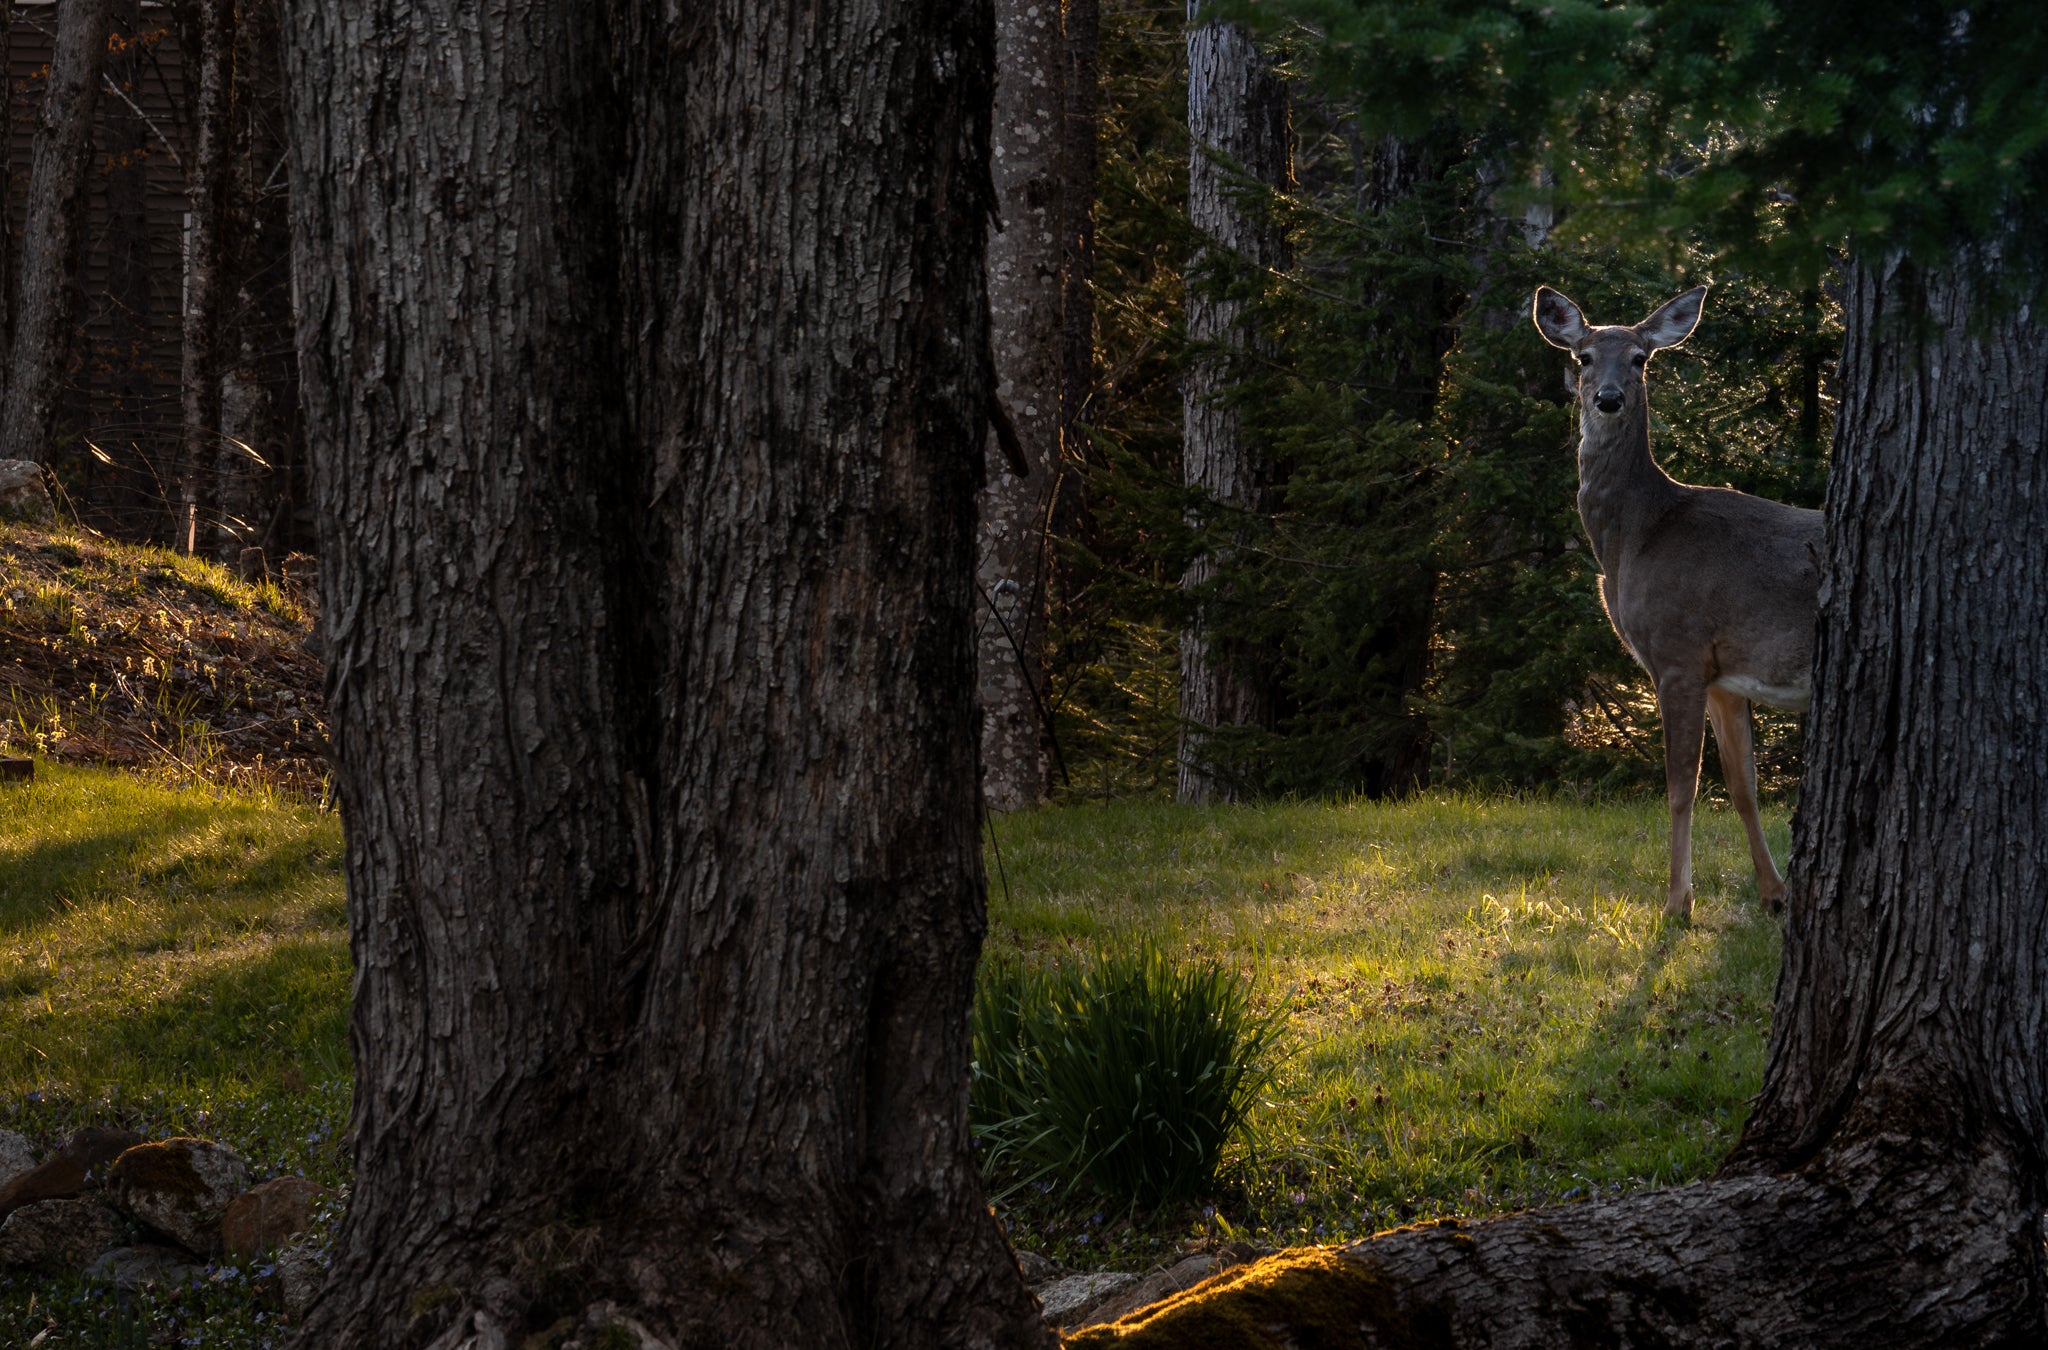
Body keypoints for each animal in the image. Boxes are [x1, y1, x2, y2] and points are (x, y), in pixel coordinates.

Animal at [1533, 284, 1821, 922]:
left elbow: (1680, 789)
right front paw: (1775, 894)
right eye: (1583, 357)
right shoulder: (1724, 675)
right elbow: (1741, 787)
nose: (1609, 399)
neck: (1637, 537)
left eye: (1641, 359)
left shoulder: (1678, 652)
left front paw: (1675, 904)